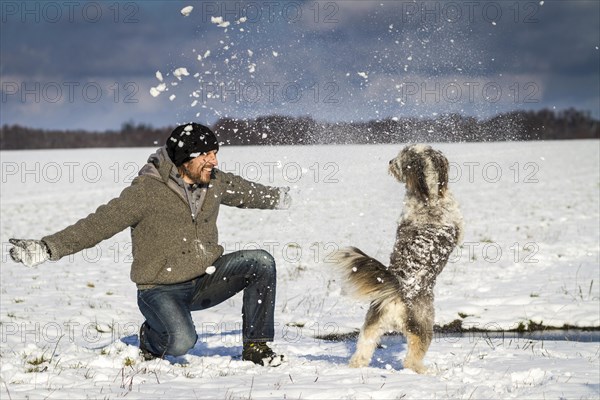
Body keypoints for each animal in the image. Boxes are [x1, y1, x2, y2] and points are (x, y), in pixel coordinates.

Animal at [332, 145, 464, 376]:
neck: (427, 197)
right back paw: (426, 372)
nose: (390, 161)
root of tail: (396, 293)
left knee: (361, 353)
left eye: (401, 157)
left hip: (371, 326)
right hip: (424, 327)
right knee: (411, 361)